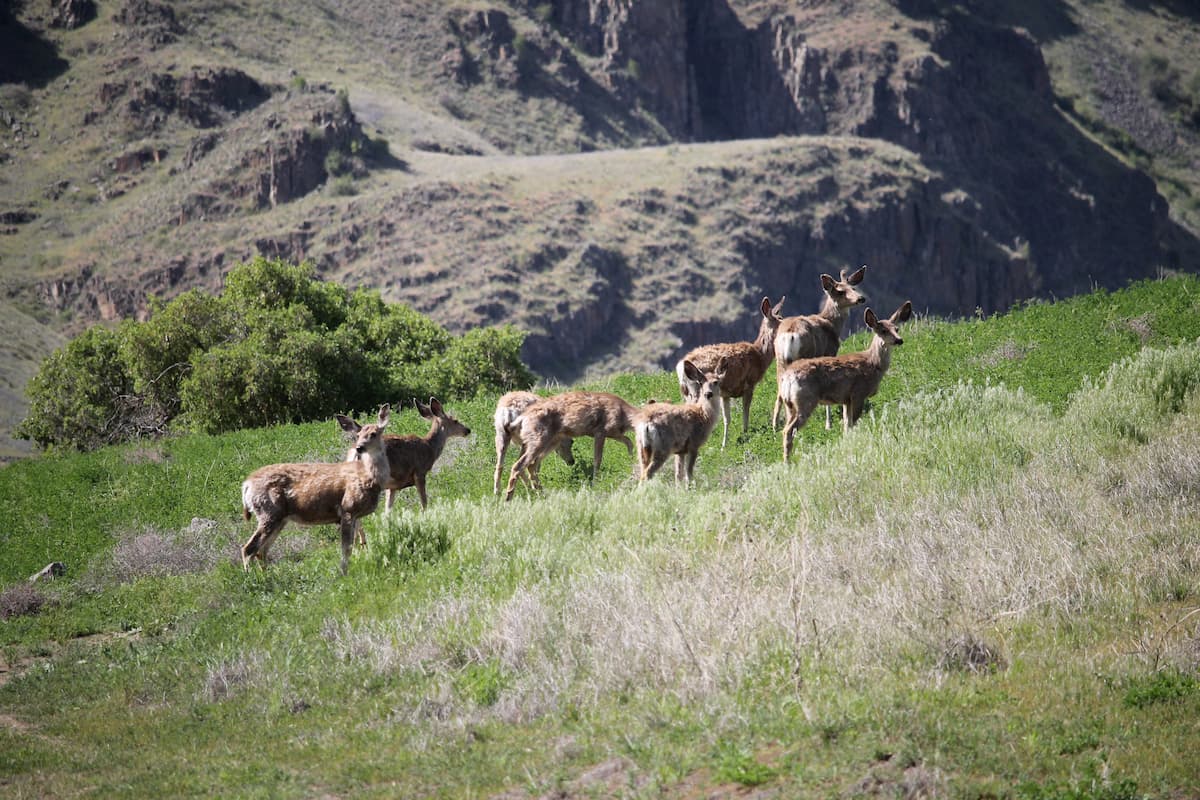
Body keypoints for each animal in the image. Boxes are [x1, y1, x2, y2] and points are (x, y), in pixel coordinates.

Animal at [241, 404, 390, 575]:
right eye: (358, 435)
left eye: (373, 433)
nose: (359, 447)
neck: (367, 479)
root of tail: (246, 484)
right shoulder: (347, 509)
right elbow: (346, 549)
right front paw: (343, 574)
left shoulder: (355, 515)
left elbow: (352, 546)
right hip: (269, 512)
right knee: (248, 549)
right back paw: (252, 578)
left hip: (279, 519)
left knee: (261, 551)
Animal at [503, 391, 640, 502]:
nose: (572, 461)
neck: (623, 414)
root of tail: (521, 419)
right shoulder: (600, 431)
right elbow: (598, 459)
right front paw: (595, 482)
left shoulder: (613, 433)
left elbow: (629, 441)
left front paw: (631, 461)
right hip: (539, 439)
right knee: (519, 465)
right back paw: (509, 497)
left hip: (548, 441)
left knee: (531, 465)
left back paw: (540, 492)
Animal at [676, 296, 784, 448]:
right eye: (781, 319)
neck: (760, 356)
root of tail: (680, 367)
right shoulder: (749, 384)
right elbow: (745, 412)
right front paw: (745, 434)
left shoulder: (725, 394)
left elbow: (727, 419)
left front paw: (724, 445)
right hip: (697, 389)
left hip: (687, 392)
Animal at [770, 266, 867, 431]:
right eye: (840, 291)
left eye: (853, 288)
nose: (861, 298)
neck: (831, 324)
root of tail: (790, 334)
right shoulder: (830, 353)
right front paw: (828, 424)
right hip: (805, 356)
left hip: (780, 359)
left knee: (779, 392)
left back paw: (775, 426)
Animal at [778, 301, 913, 462]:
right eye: (883, 330)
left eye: (896, 328)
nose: (899, 340)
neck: (873, 363)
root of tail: (787, 377)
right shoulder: (858, 394)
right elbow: (852, 424)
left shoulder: (846, 400)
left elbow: (846, 427)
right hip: (805, 400)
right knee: (788, 430)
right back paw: (787, 463)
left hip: (790, 404)